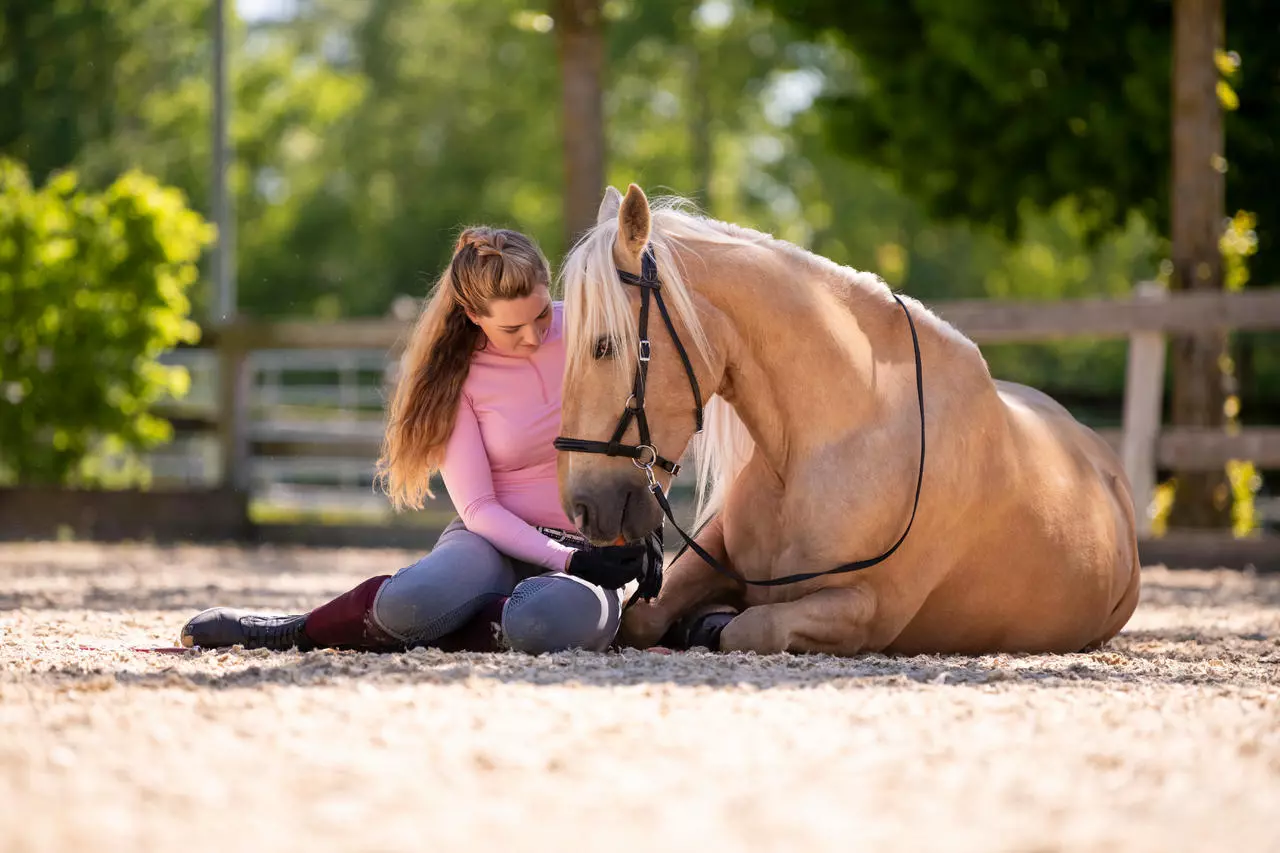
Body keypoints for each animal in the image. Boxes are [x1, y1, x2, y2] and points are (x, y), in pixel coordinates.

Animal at [555, 183, 1141, 656]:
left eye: (604, 345)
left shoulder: (866, 608)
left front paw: (711, 624)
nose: (581, 507)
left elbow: (751, 628)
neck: (827, 441)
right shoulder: (713, 551)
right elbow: (643, 619)